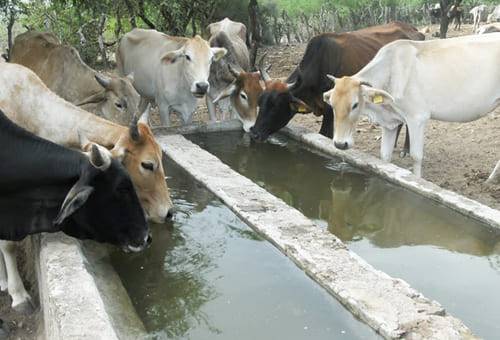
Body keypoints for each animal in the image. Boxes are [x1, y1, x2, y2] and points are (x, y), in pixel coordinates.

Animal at [322, 33, 500, 177]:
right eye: (332, 105)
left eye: (355, 104)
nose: (340, 144)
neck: (391, 73)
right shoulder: (389, 123)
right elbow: (384, 156)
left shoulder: (417, 118)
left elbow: (416, 156)